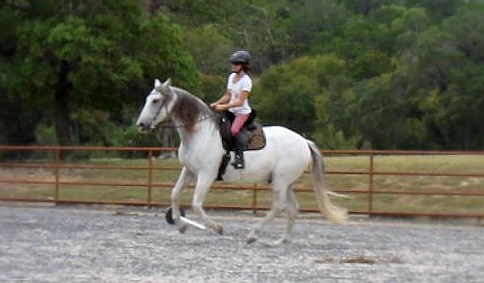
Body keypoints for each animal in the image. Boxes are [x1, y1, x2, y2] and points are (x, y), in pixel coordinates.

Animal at [137, 79, 348, 245]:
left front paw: (218, 227)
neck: (199, 132)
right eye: (147, 99)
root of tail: (303, 141)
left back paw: (253, 234)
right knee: (292, 208)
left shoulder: (206, 175)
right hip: (285, 182)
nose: (141, 125)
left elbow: (196, 204)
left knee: (278, 207)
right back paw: (283, 240)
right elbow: (174, 194)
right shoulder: (189, 171)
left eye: (155, 100)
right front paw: (180, 225)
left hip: (280, 181)